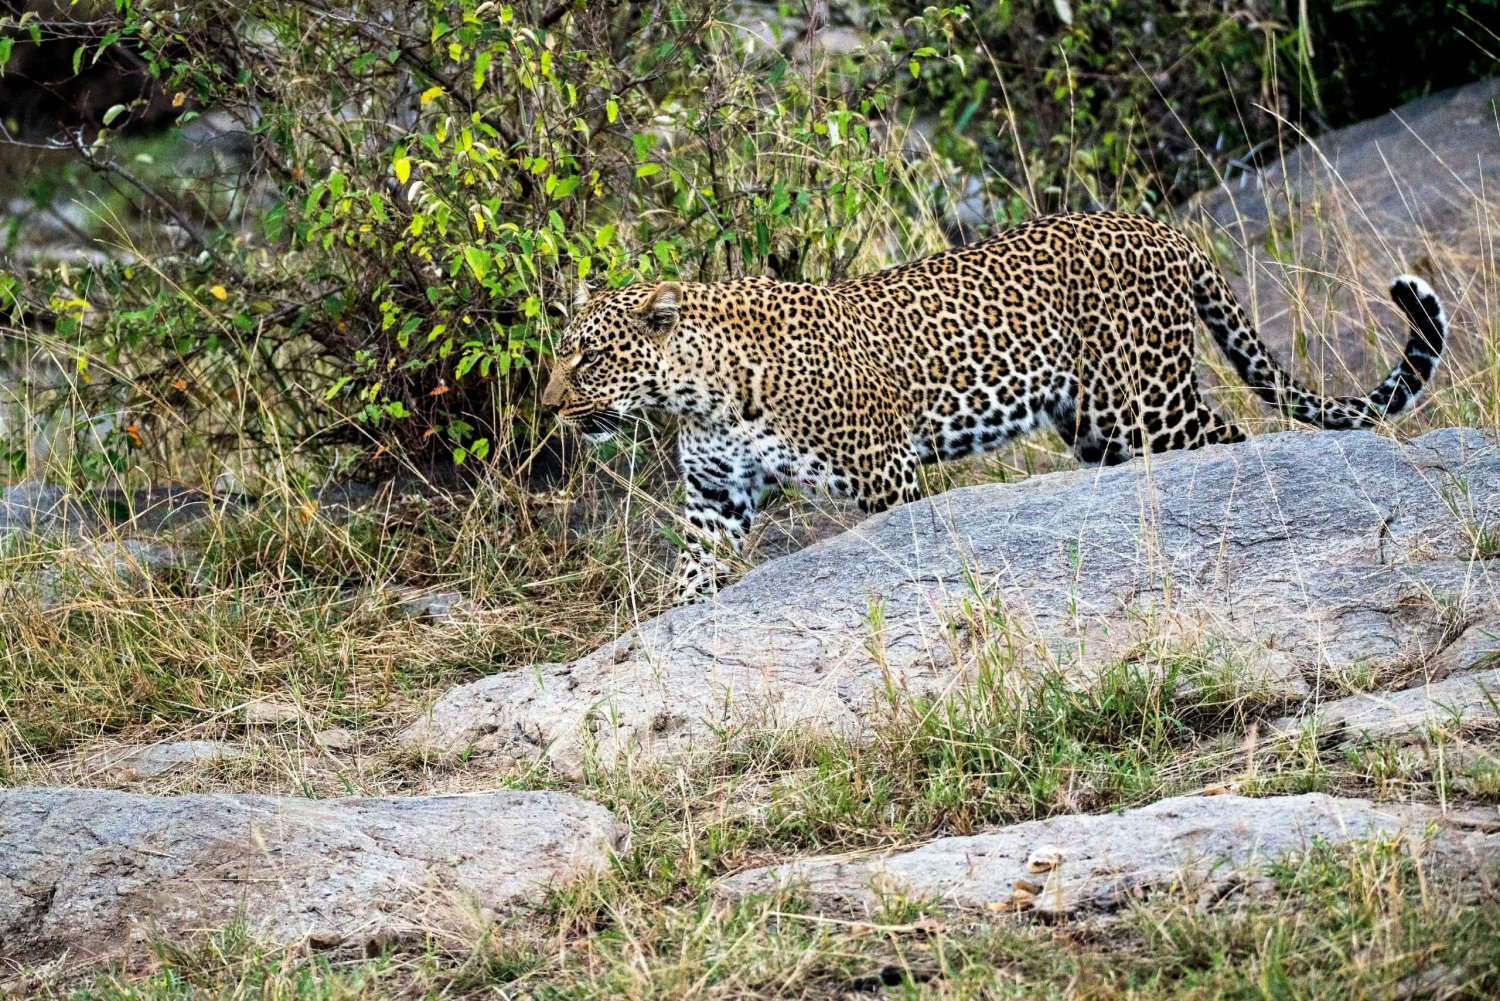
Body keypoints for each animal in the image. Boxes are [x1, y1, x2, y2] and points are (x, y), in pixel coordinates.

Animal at [546, 211, 1446, 603]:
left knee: (1232, 436)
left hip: (1145, 400)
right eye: (561, 352)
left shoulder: (883, 474)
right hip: (1097, 425)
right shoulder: (716, 496)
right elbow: (693, 569)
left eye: (588, 356)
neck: (699, 391)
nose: (551, 407)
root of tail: (1162, 227)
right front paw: (671, 622)